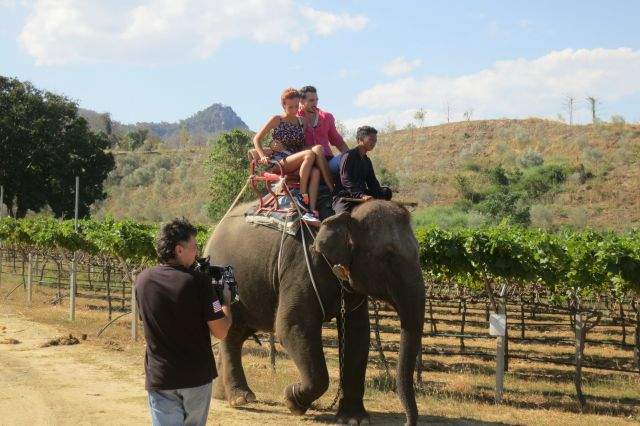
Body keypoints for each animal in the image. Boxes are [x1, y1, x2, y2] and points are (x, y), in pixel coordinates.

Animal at [205, 201, 424, 426]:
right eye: (389, 255)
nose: (407, 422)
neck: (346, 215)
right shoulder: (301, 266)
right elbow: (292, 326)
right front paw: (292, 401)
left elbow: (358, 334)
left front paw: (354, 419)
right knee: (231, 332)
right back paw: (241, 398)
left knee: (239, 333)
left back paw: (223, 394)